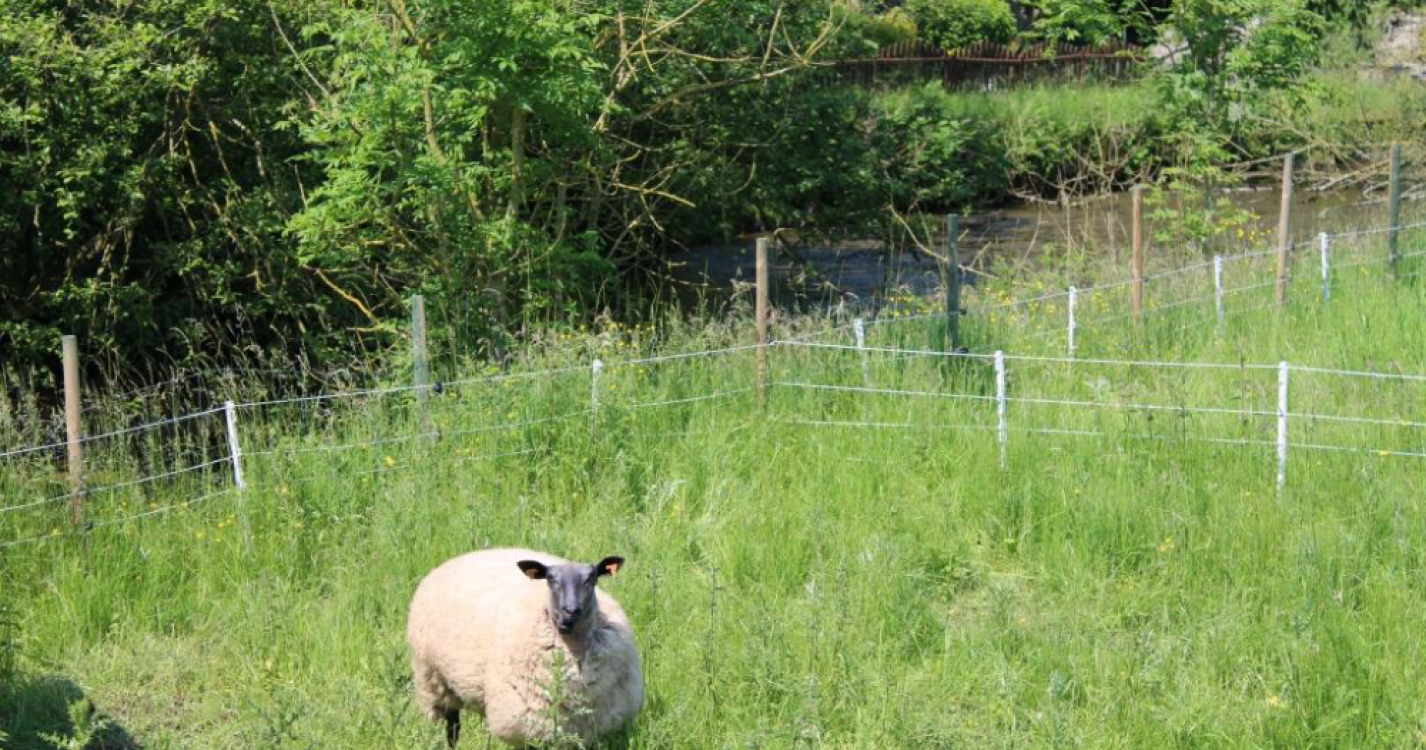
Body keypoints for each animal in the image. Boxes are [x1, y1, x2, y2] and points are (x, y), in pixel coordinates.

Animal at [406, 547, 644, 748]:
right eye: (550, 580)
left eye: (591, 579)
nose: (570, 611)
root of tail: (463, 556)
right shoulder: (530, 725)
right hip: (433, 681)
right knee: (452, 727)